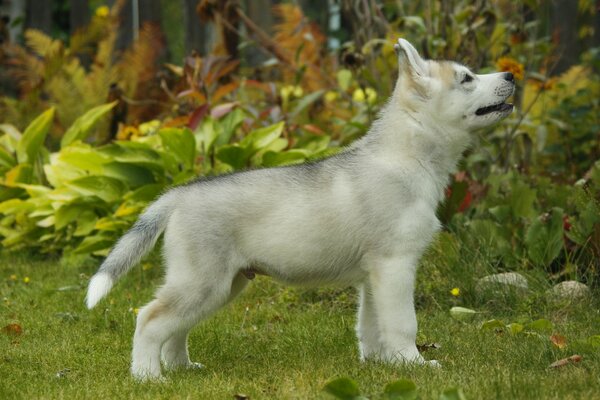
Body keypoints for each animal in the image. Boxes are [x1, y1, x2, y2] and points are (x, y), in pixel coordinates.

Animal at [85, 39, 516, 380]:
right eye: (466, 78)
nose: (512, 74)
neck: (405, 157)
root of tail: (179, 193)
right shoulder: (395, 264)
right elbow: (403, 324)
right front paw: (413, 365)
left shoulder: (373, 275)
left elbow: (371, 325)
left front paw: (381, 365)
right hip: (202, 282)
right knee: (150, 318)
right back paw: (148, 377)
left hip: (220, 284)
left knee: (176, 327)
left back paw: (181, 368)